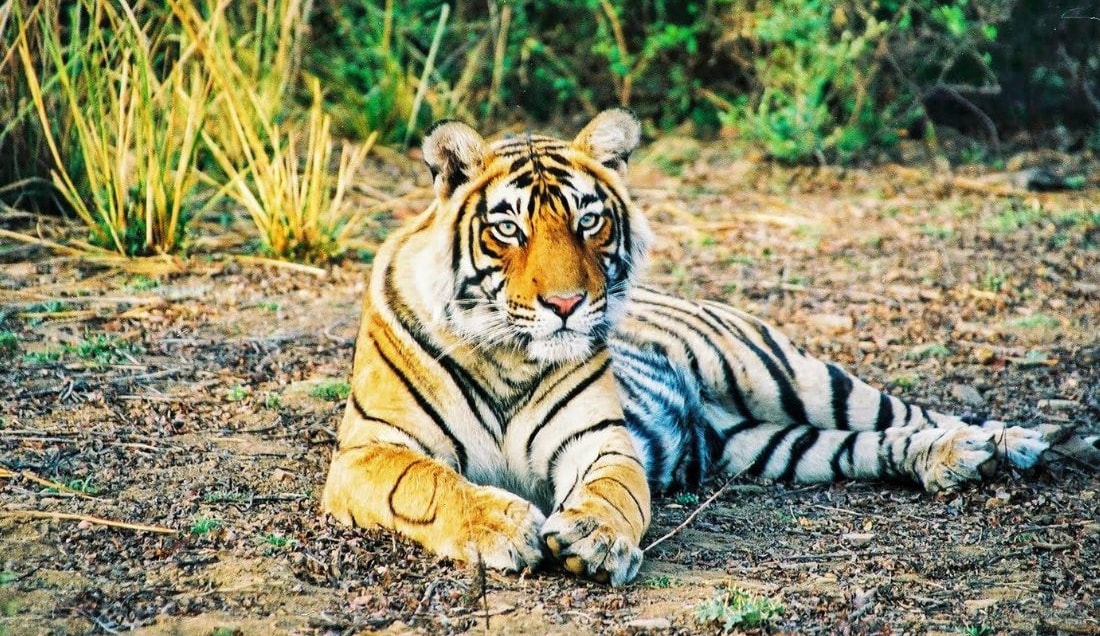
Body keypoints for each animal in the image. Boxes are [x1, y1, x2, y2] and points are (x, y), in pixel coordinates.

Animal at [321, 108, 1098, 586]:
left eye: (589, 222)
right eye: (508, 228)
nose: (566, 305)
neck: (509, 352)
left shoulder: (600, 440)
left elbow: (615, 488)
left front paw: (595, 538)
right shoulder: (366, 453)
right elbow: (429, 483)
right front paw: (502, 525)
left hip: (791, 375)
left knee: (908, 414)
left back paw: (1004, 443)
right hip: (769, 446)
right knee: (867, 444)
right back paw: (959, 459)